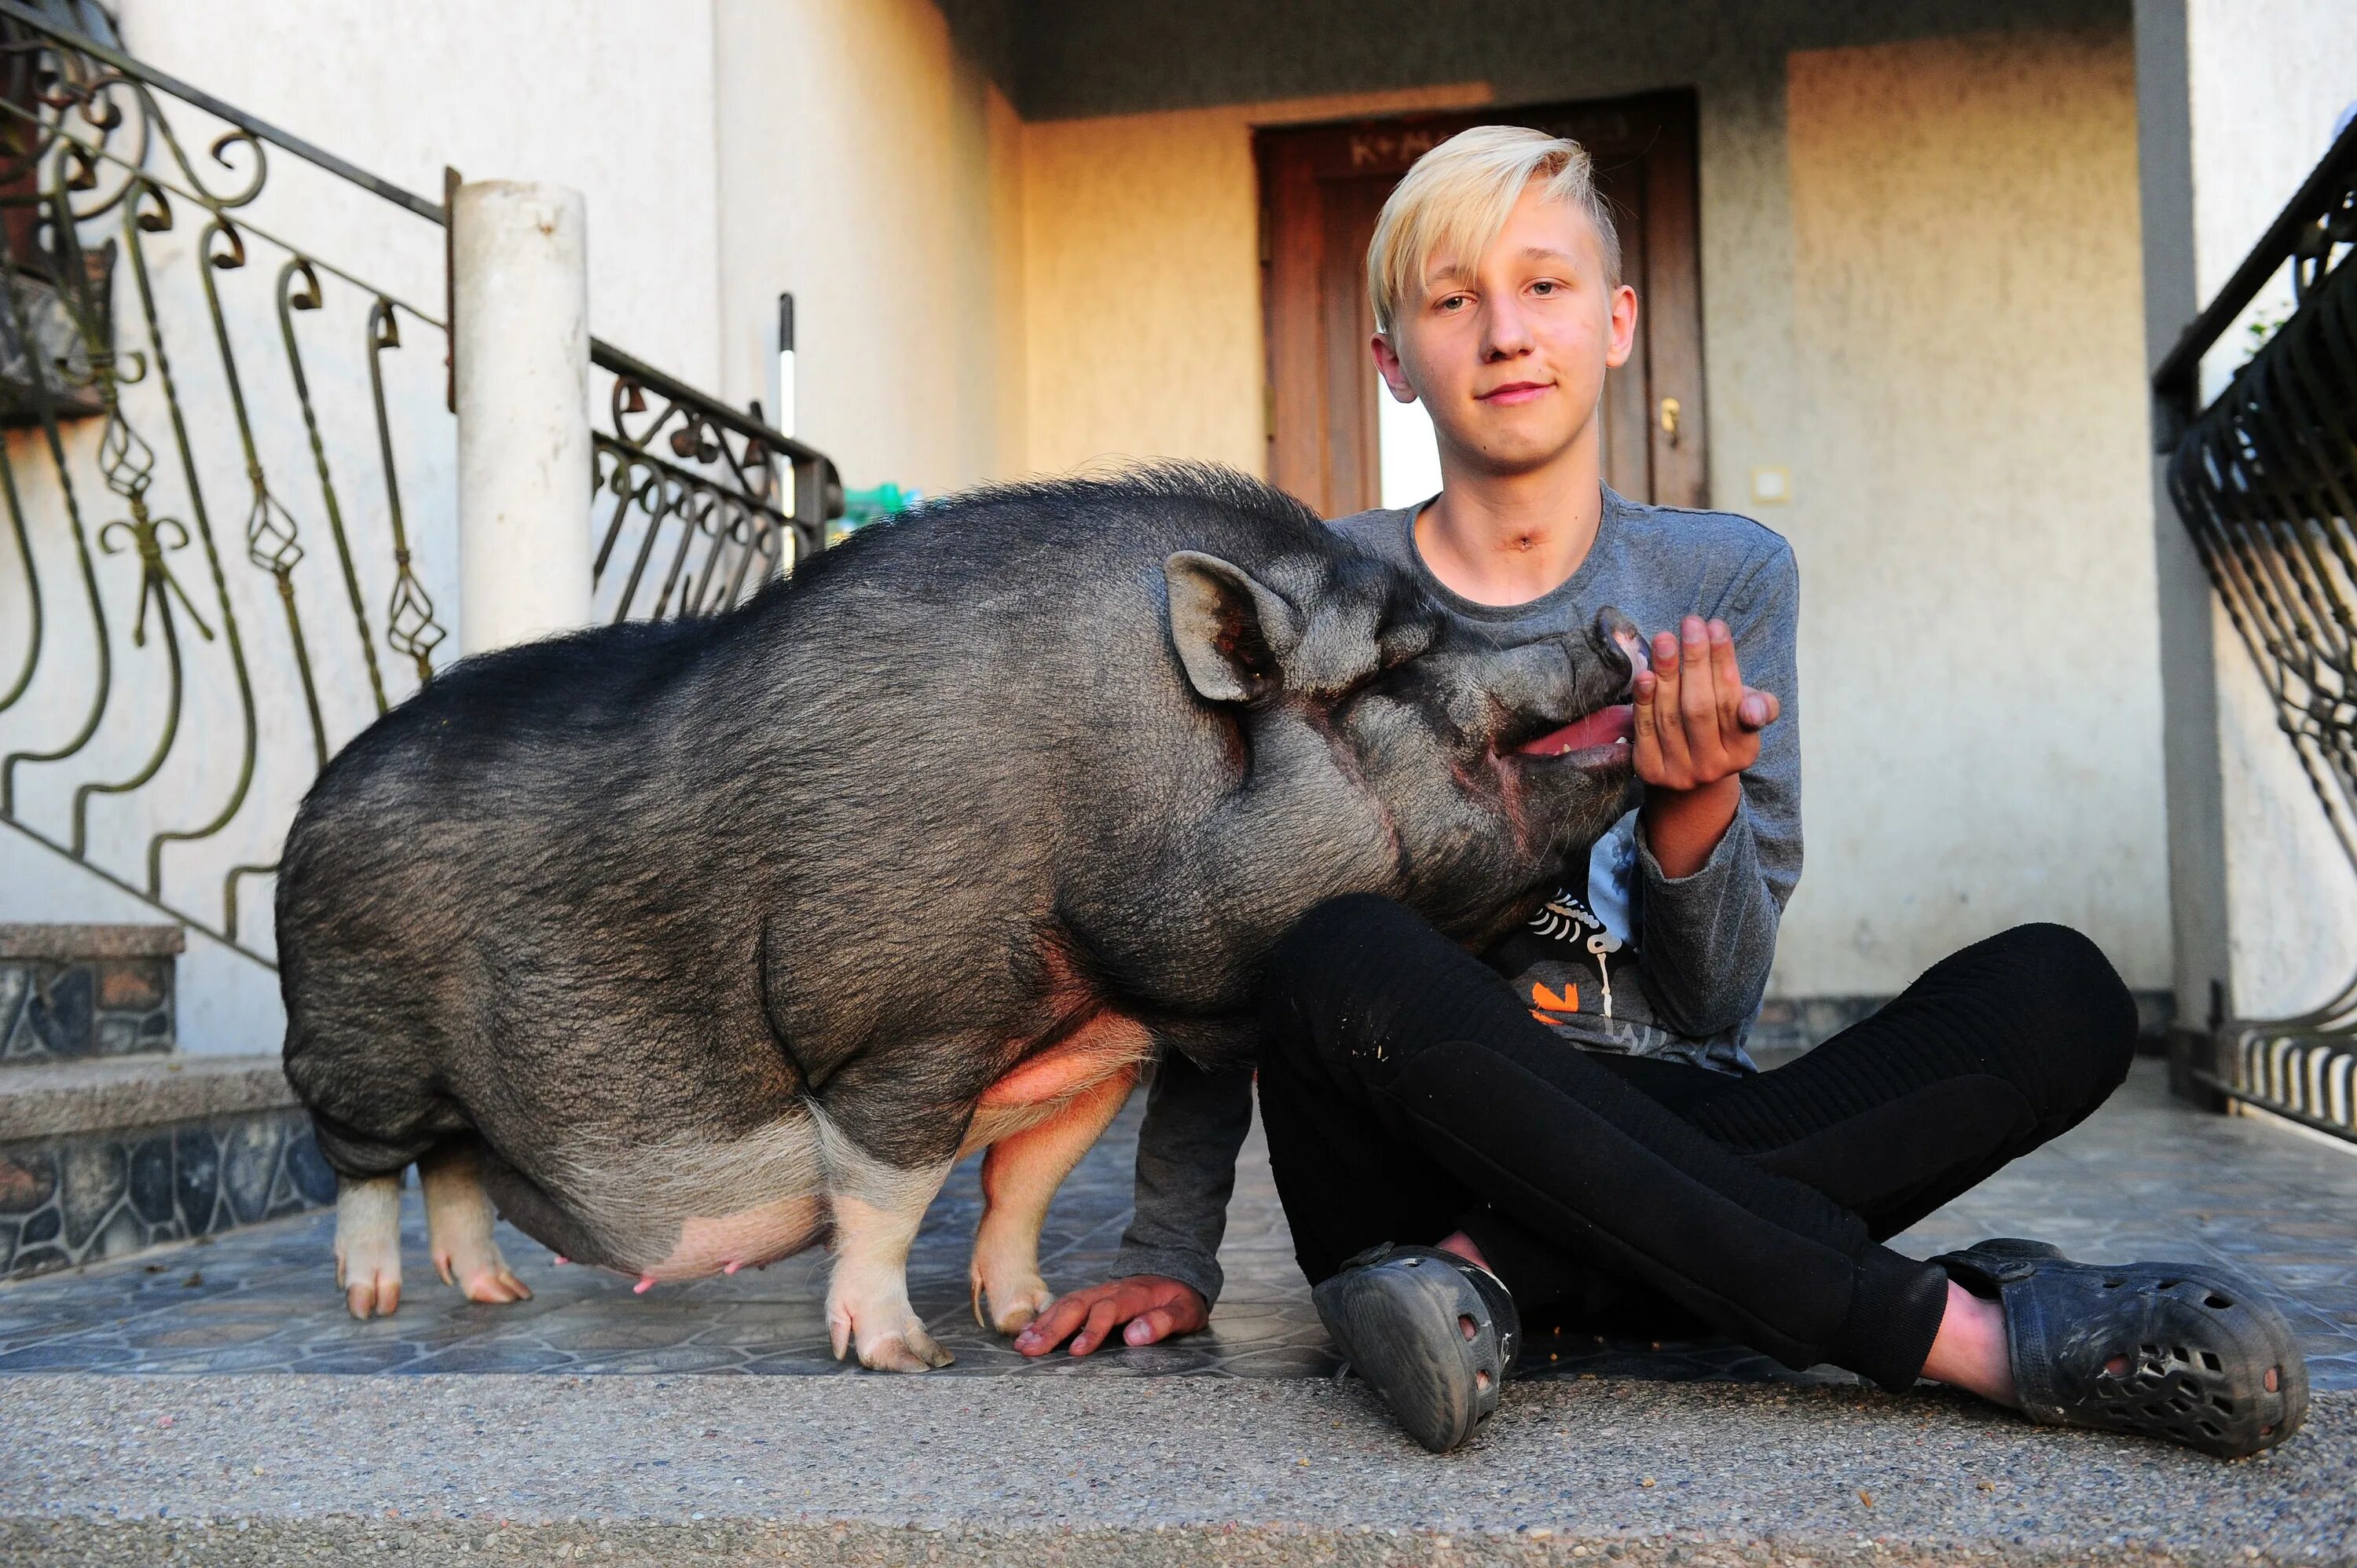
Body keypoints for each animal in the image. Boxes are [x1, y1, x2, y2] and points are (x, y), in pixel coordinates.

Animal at [280, 460, 1640, 1367]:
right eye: (1399, 667)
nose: (1613, 625)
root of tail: (323, 785)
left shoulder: (1096, 1053)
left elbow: (1023, 1185)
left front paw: (1034, 1324)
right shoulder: (906, 1036)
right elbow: (888, 1197)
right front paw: (903, 1357)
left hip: (448, 1085)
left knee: (456, 1163)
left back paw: (493, 1300)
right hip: (356, 1042)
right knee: (365, 1167)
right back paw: (375, 1306)